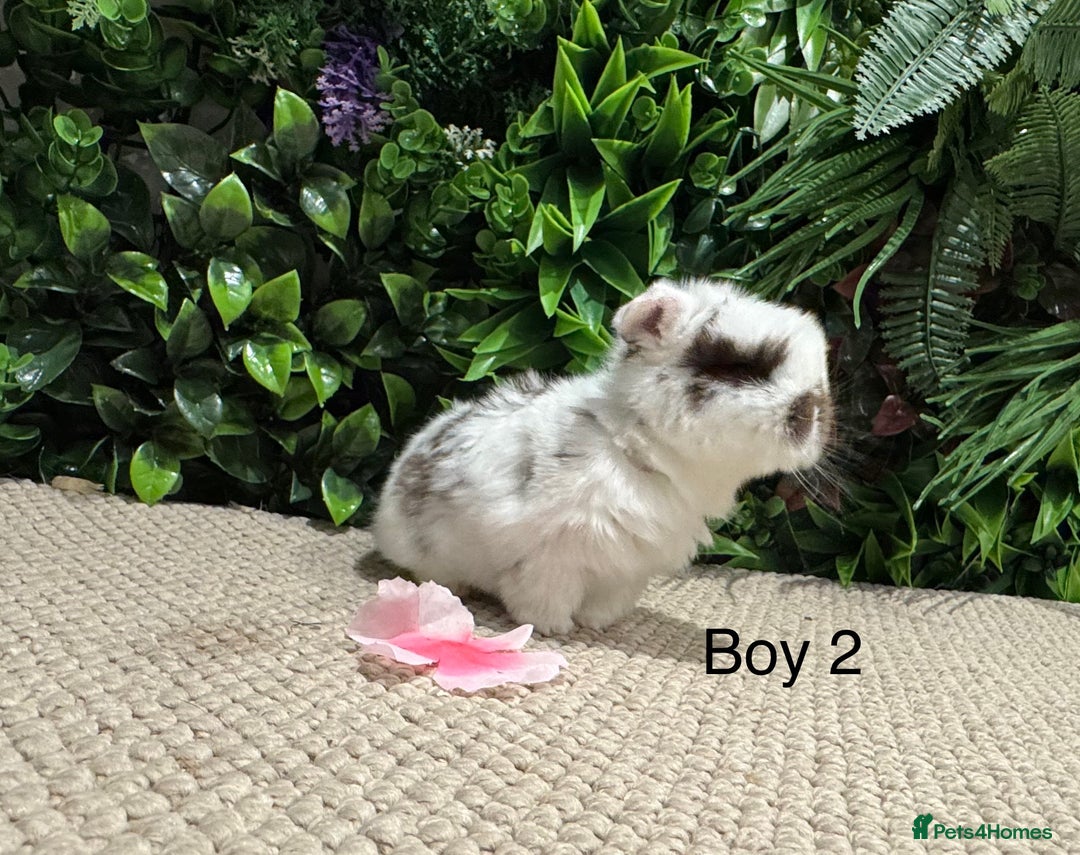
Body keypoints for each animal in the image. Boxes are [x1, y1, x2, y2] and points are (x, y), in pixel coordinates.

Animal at [372, 277, 835, 635]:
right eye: (740, 366)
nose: (814, 412)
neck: (636, 446)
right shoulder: (551, 556)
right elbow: (542, 598)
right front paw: (555, 628)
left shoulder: (625, 570)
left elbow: (606, 602)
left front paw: (596, 625)